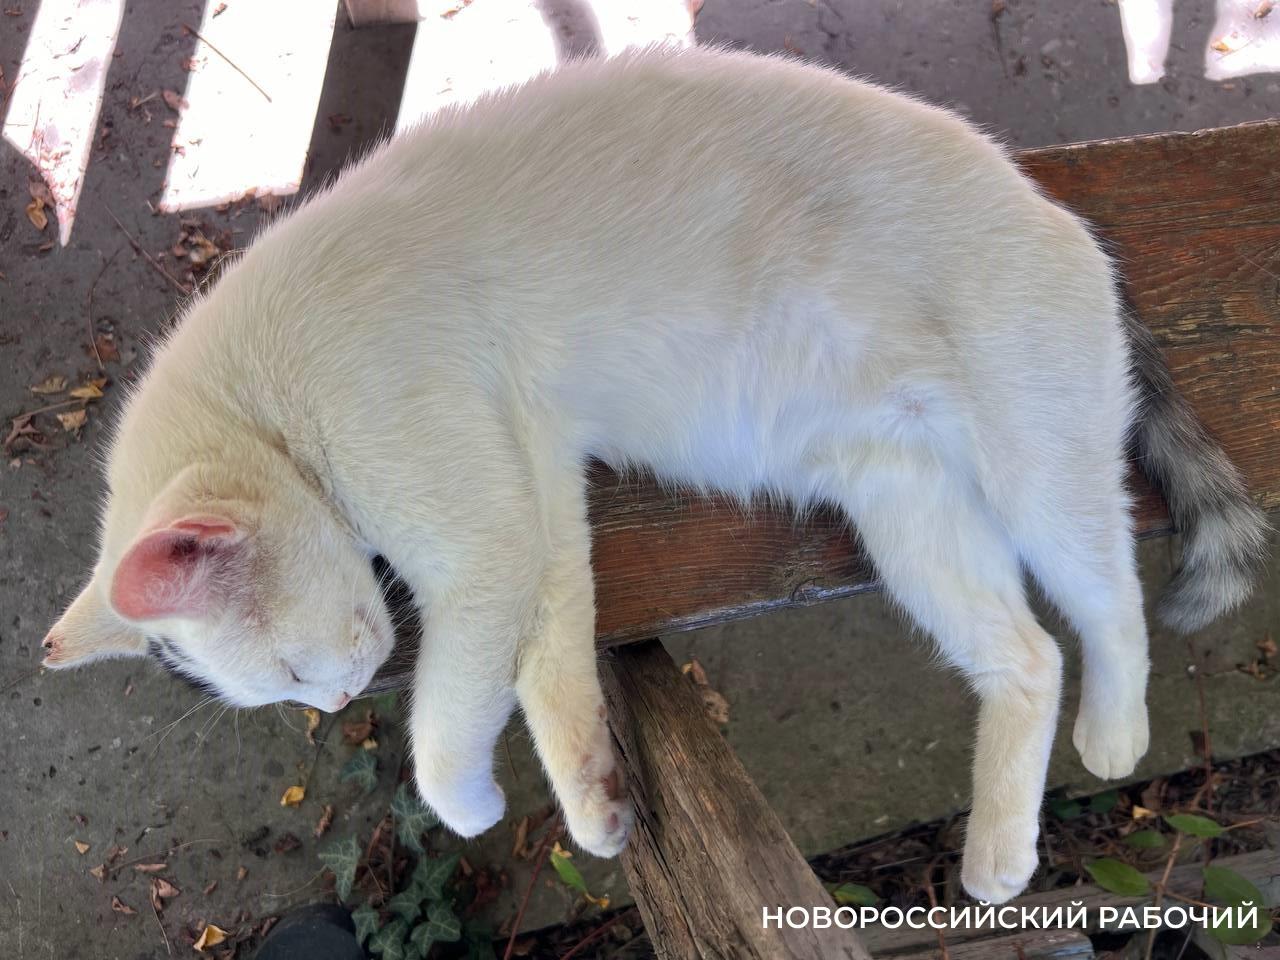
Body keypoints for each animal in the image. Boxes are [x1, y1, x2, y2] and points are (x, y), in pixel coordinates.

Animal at [42, 43, 1269, 901]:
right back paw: (999, 858)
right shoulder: (534, 484)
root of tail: (1058, 211)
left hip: (1035, 469)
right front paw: (593, 802)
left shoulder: (480, 539)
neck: (266, 392)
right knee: (1025, 658)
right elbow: (552, 661)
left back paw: (1113, 732)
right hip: (909, 515)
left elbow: (448, 717)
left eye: (298, 674)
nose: (338, 699)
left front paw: (466, 800)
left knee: (1108, 600)